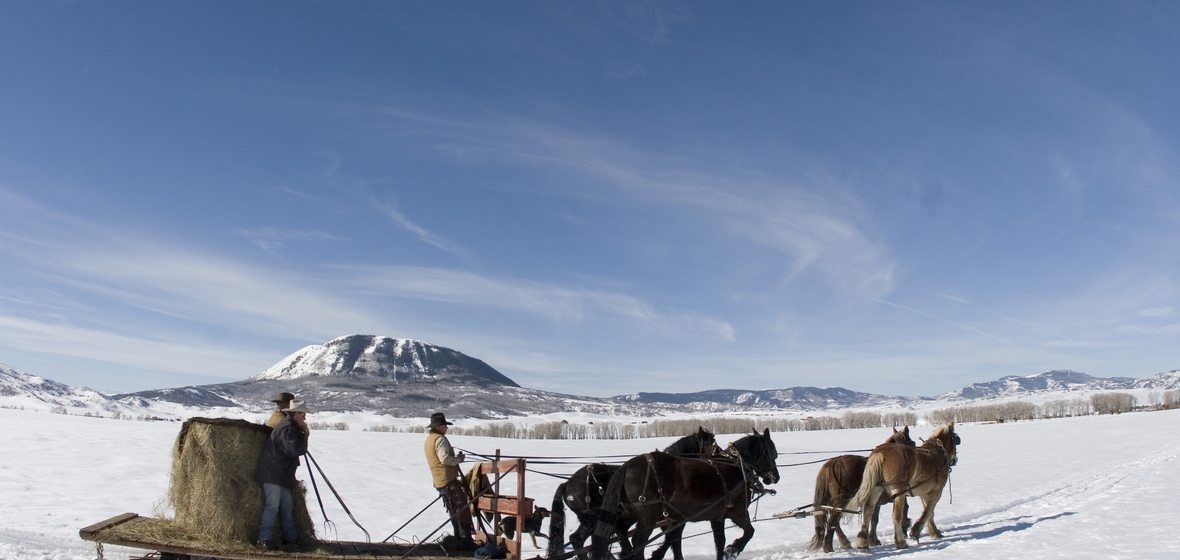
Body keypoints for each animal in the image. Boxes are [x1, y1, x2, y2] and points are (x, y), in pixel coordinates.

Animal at [545, 426, 712, 560]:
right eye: (713, 443)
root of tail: (567, 484)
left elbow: (671, 539)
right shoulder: (671, 518)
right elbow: (673, 539)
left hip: (590, 520)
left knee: (578, 539)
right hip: (592, 519)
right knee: (581, 539)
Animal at [590, 429, 783, 560]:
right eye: (773, 453)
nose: (775, 477)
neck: (735, 466)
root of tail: (626, 466)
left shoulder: (715, 517)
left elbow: (718, 542)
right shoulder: (738, 512)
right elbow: (749, 532)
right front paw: (733, 549)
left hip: (631, 512)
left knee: (620, 529)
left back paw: (626, 552)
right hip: (648, 516)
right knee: (639, 540)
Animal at [807, 426, 915, 554]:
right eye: (913, 443)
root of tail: (830, 464)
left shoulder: (878, 501)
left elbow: (874, 518)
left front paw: (872, 539)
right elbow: (883, 516)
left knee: (835, 521)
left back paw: (844, 543)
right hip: (841, 500)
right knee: (833, 521)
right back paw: (829, 547)